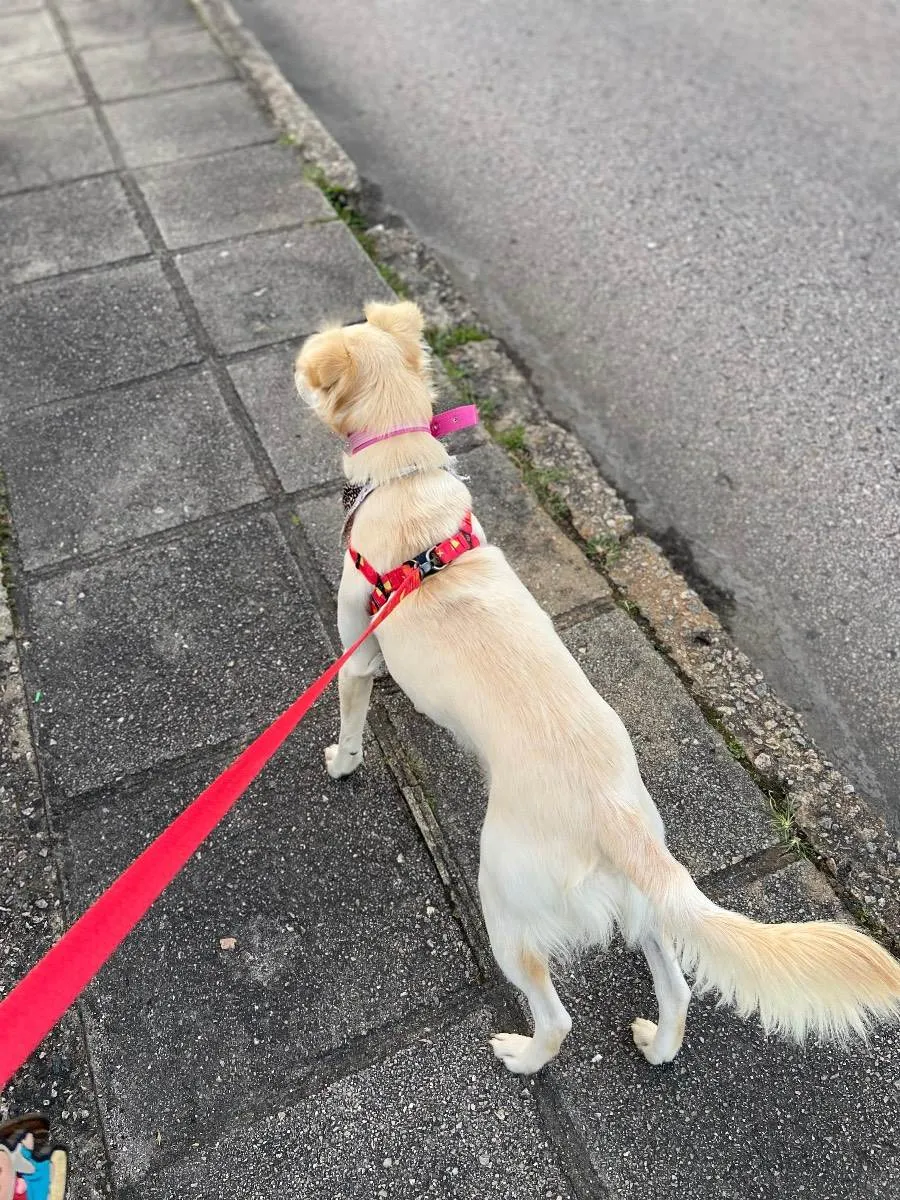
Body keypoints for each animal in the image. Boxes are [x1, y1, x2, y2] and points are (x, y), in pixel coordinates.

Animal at [295, 299, 900, 1075]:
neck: (406, 483)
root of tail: (619, 823)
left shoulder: (357, 651)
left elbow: (350, 716)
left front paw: (342, 761)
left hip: (505, 903)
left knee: (557, 1017)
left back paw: (521, 1054)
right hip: (641, 906)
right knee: (677, 986)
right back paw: (658, 1044)